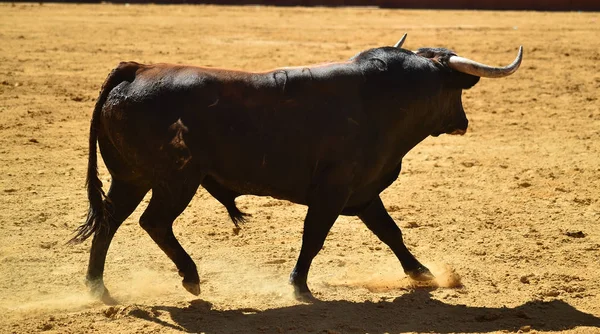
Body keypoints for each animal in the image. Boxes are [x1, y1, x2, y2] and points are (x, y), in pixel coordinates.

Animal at [69, 42, 520, 302]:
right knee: (154, 222)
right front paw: (299, 286)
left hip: (130, 178)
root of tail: (137, 69)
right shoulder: (333, 192)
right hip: (175, 181)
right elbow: (314, 236)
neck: (383, 99)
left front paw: (423, 274)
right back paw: (190, 278)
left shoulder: (362, 192)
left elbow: (390, 232)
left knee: (109, 222)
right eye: (455, 87)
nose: (463, 122)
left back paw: (97, 288)